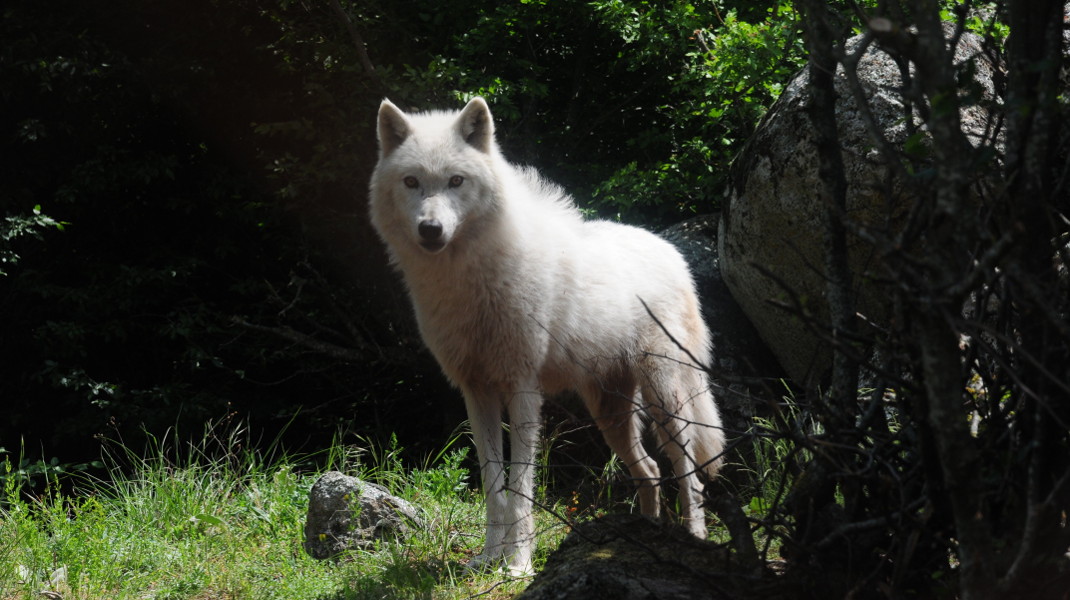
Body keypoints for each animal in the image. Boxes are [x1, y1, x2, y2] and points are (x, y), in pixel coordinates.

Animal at [370, 95, 727, 573]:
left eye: (455, 181)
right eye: (411, 181)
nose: (431, 229)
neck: (467, 281)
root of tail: (673, 254)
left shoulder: (523, 389)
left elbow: (521, 487)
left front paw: (518, 564)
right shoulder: (476, 393)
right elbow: (493, 485)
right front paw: (487, 559)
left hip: (666, 400)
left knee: (688, 474)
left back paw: (694, 538)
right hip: (611, 414)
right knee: (650, 471)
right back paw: (643, 536)